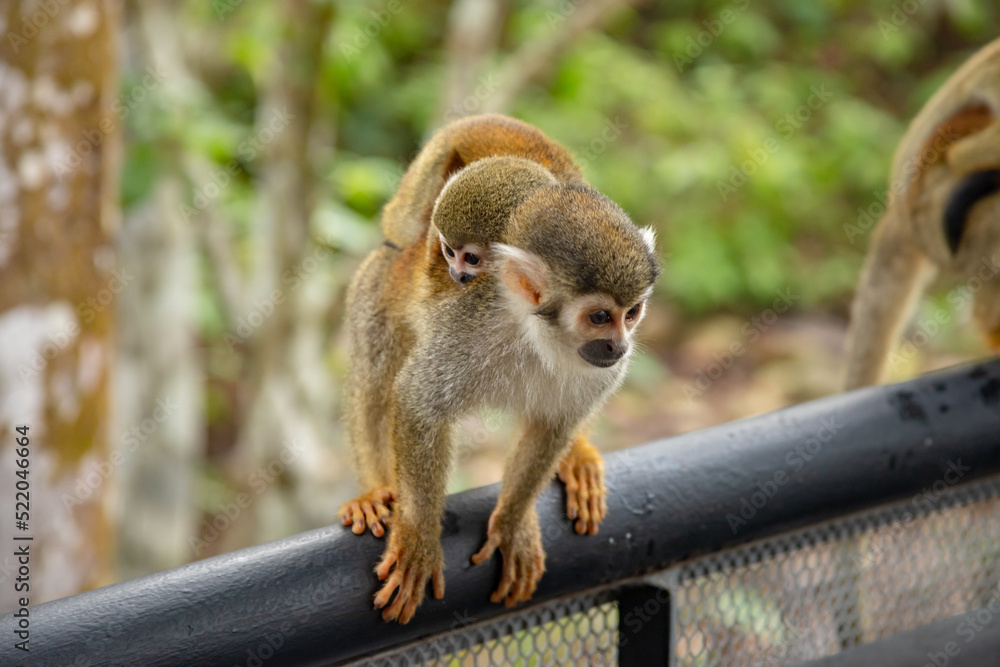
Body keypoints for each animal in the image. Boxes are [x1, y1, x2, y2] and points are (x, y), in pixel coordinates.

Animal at [339, 120, 659, 623]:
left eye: (632, 313)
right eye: (599, 317)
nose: (620, 346)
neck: (539, 335)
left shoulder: (602, 370)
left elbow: (552, 426)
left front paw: (511, 522)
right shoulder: (467, 328)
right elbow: (418, 405)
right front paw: (420, 538)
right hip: (375, 287)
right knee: (375, 377)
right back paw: (374, 490)